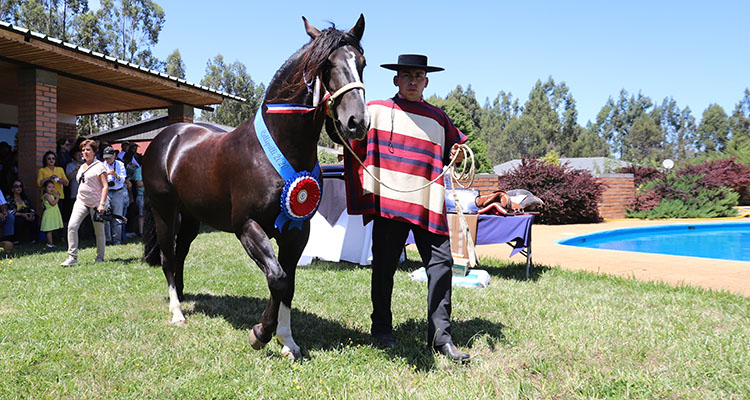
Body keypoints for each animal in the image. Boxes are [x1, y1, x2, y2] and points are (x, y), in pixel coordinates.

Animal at [142, 15, 368, 360]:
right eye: (327, 65)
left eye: (362, 63)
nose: (357, 122)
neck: (277, 147)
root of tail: (168, 137)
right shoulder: (247, 226)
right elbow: (277, 279)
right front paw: (261, 334)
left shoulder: (297, 231)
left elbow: (288, 283)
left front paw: (287, 341)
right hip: (164, 212)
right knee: (168, 257)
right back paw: (177, 311)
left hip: (192, 217)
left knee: (180, 254)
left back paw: (181, 296)